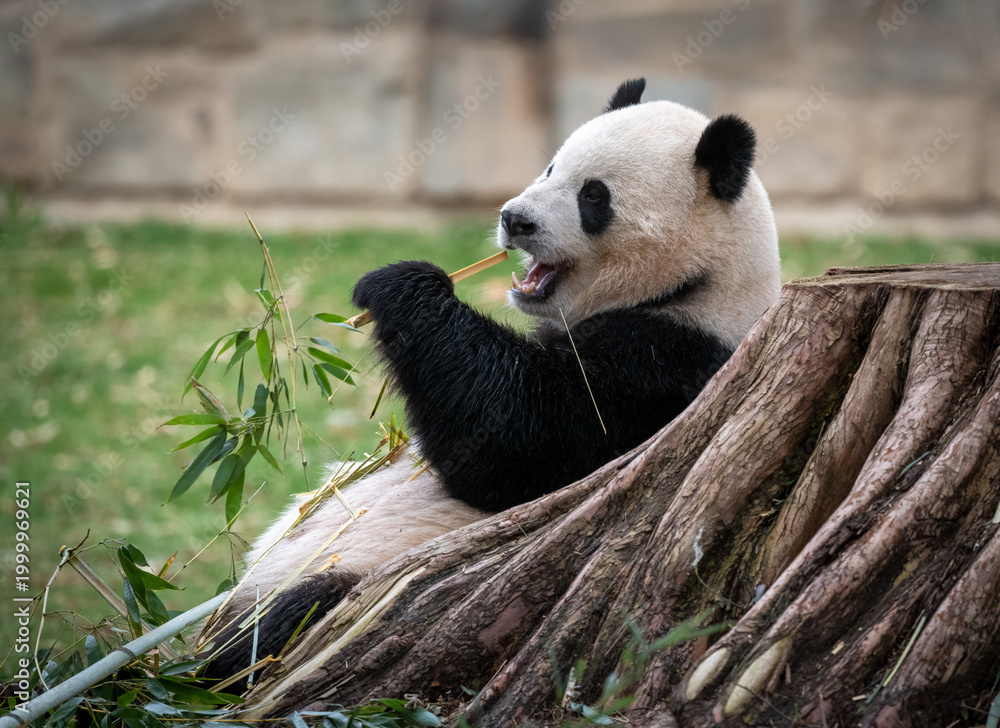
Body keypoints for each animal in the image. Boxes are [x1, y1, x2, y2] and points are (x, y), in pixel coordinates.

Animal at [198, 78, 781, 682]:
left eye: (594, 196)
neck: (698, 284)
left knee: (285, 621)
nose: (515, 219)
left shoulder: (669, 370)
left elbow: (517, 439)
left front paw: (401, 285)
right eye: (551, 167)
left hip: (353, 582)